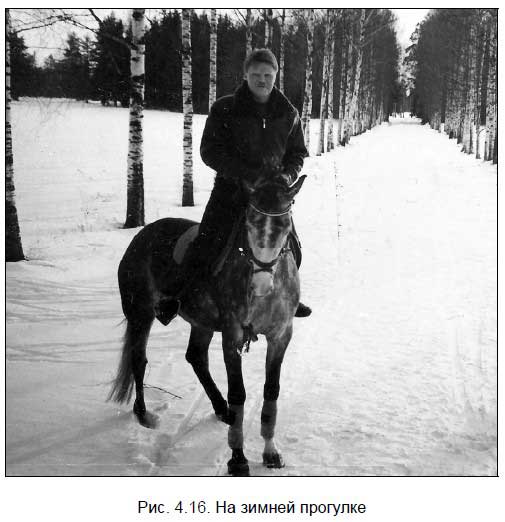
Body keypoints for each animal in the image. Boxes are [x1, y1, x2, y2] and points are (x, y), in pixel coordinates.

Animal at [109, 174, 306, 476]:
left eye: (285, 225)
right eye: (250, 223)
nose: (261, 284)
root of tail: (140, 237)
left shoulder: (281, 336)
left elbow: (271, 390)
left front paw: (271, 452)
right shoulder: (232, 337)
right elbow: (238, 393)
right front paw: (238, 458)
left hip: (200, 322)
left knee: (196, 356)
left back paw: (221, 409)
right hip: (141, 314)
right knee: (139, 360)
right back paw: (143, 415)